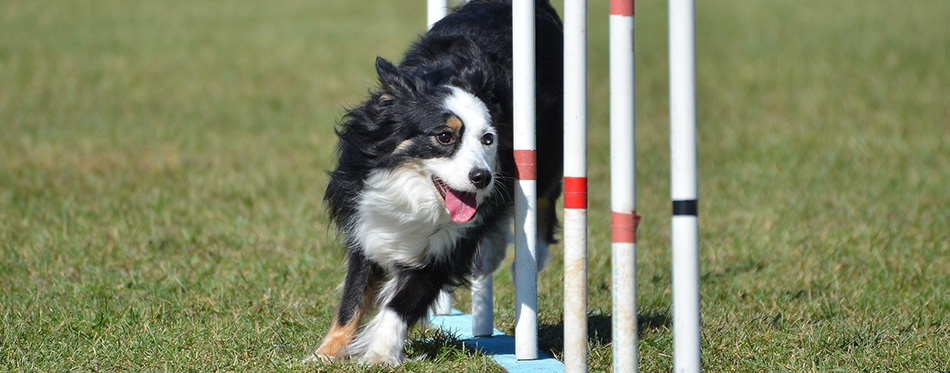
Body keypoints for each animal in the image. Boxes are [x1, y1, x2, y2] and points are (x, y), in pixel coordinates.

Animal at [306, 0, 564, 364]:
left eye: (488, 139)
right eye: (444, 136)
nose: (482, 178)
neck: (411, 189)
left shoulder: (445, 247)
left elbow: (402, 302)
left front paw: (380, 355)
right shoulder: (368, 220)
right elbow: (352, 298)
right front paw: (326, 353)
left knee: (543, 197)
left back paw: (531, 260)